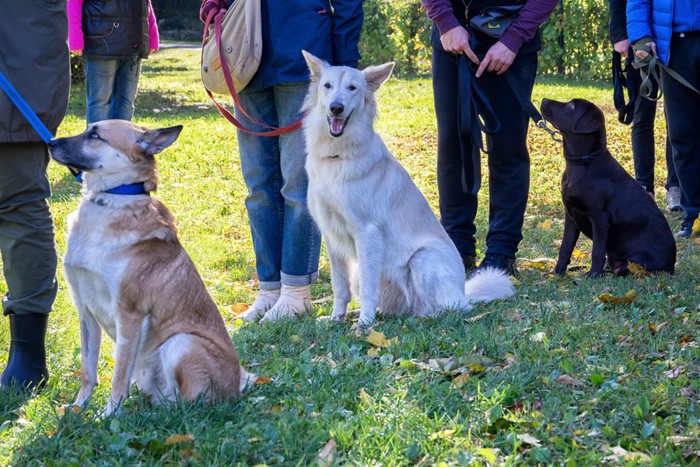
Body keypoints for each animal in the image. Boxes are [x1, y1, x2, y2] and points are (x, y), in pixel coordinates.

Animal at [47, 120, 249, 416]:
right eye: (87, 129)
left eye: (95, 135)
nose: (50, 142)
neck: (110, 201)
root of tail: (236, 389)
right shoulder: (85, 310)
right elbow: (87, 370)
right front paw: (77, 408)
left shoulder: (130, 315)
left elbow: (119, 376)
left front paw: (108, 416)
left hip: (181, 342)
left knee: (189, 407)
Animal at [300, 51, 516, 328]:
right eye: (327, 86)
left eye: (352, 88)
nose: (336, 108)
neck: (337, 155)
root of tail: (463, 291)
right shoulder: (332, 237)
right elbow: (340, 287)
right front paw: (337, 317)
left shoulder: (367, 234)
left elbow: (369, 288)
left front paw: (365, 325)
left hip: (422, 259)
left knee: (452, 308)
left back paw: (421, 317)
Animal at [540, 97, 676, 276]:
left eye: (571, 106)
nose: (543, 100)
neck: (583, 164)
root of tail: (671, 267)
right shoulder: (571, 215)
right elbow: (565, 246)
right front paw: (557, 272)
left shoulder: (600, 218)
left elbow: (597, 251)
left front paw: (593, 276)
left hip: (635, 262)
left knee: (621, 268)